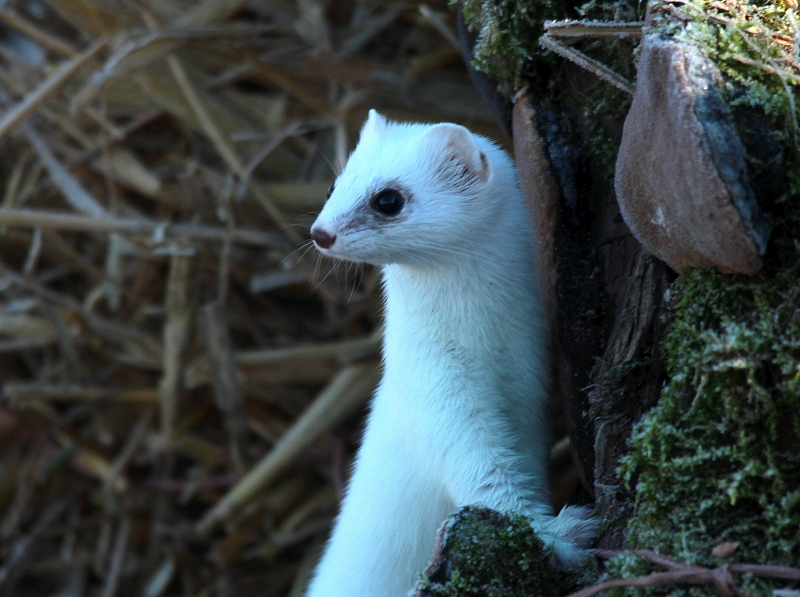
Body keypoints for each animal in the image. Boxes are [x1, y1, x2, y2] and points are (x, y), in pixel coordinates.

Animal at [306, 112, 592, 596]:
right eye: (333, 185)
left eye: (388, 199)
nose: (320, 233)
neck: (485, 340)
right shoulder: (436, 387)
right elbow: (480, 472)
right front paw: (558, 536)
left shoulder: (528, 386)